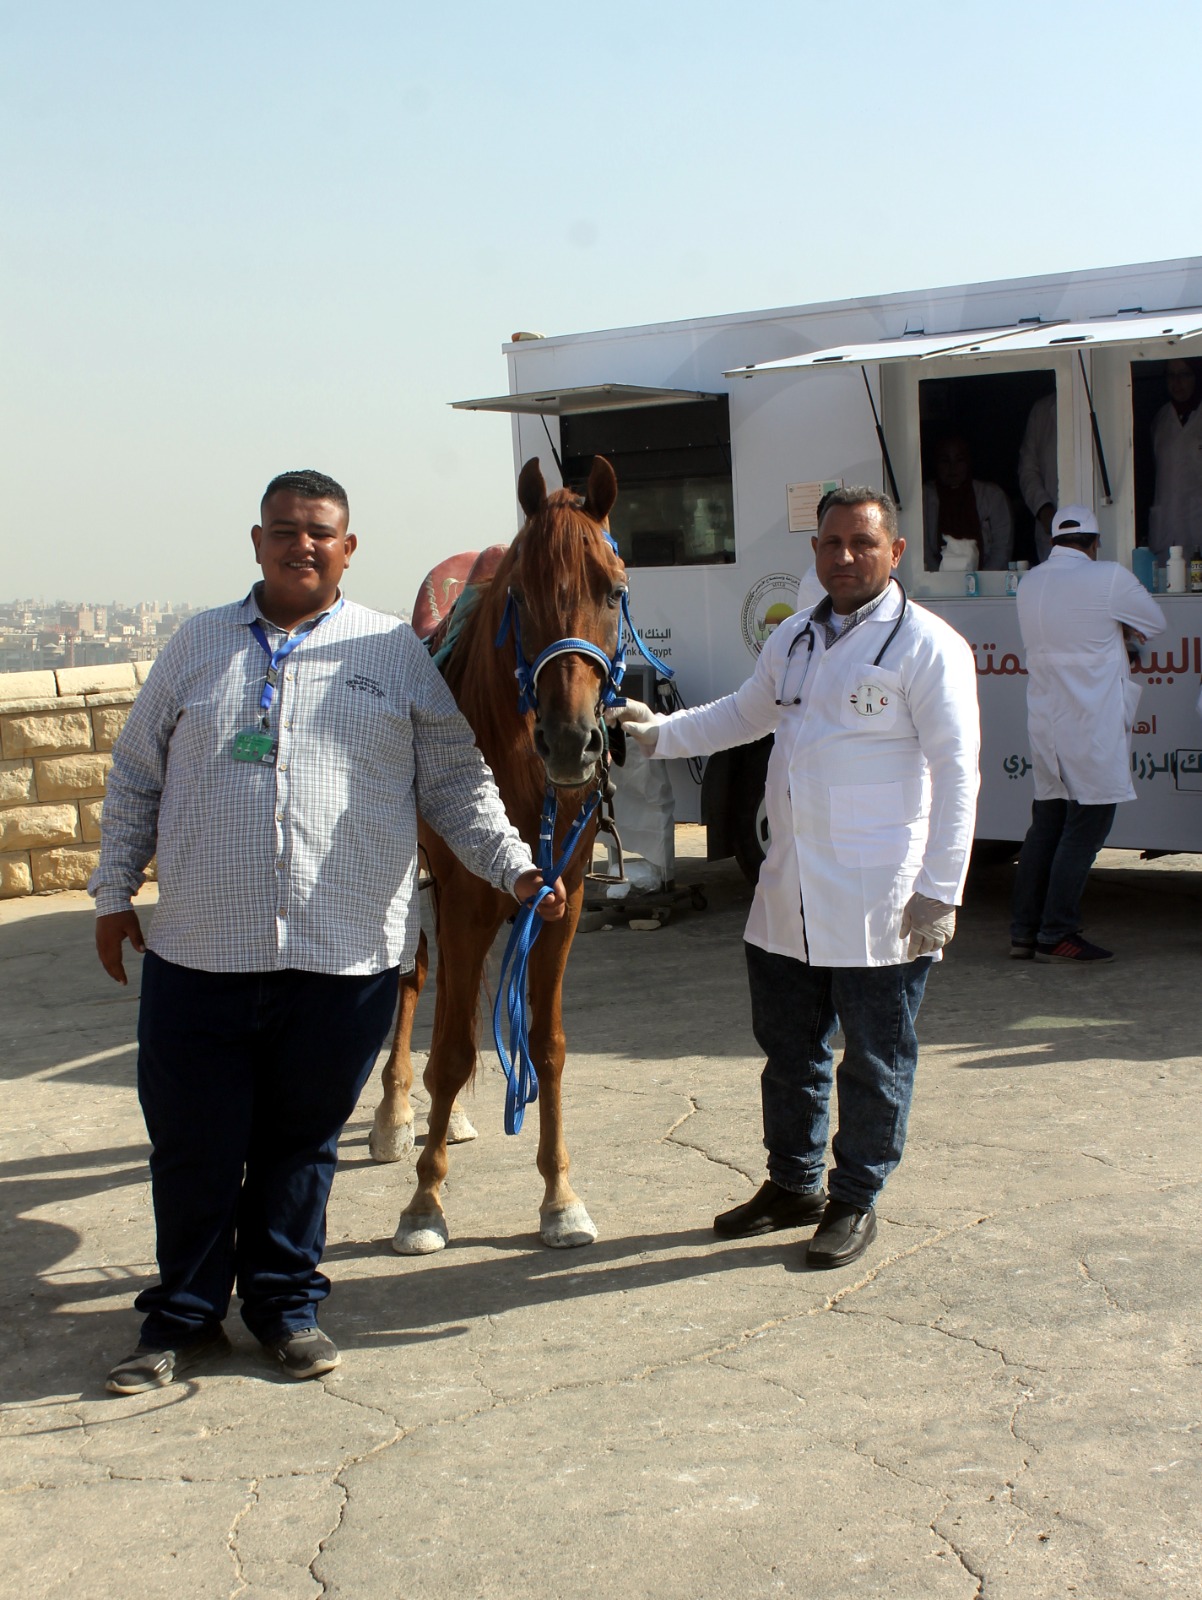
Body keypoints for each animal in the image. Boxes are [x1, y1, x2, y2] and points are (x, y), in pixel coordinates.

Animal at [371, 451, 624, 1248]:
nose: (572, 741)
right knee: (415, 981)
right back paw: (396, 1116)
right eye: (522, 593)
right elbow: (452, 1049)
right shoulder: (462, 898)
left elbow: (547, 1045)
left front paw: (559, 1196)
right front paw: (425, 1201)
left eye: (614, 589)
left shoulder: (558, 901)